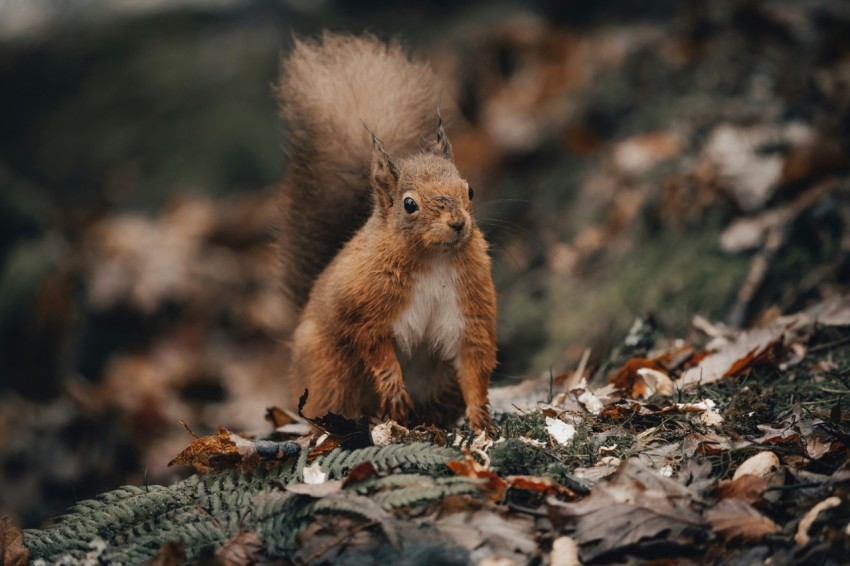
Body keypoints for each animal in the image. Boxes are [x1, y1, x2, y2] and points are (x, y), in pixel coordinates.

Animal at [274, 33, 494, 432]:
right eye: (409, 204)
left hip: (438, 380)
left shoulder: (470, 309)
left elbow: (474, 362)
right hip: (332, 373)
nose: (458, 223)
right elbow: (373, 345)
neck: (434, 259)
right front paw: (394, 392)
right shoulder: (363, 304)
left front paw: (480, 417)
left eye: (469, 191)